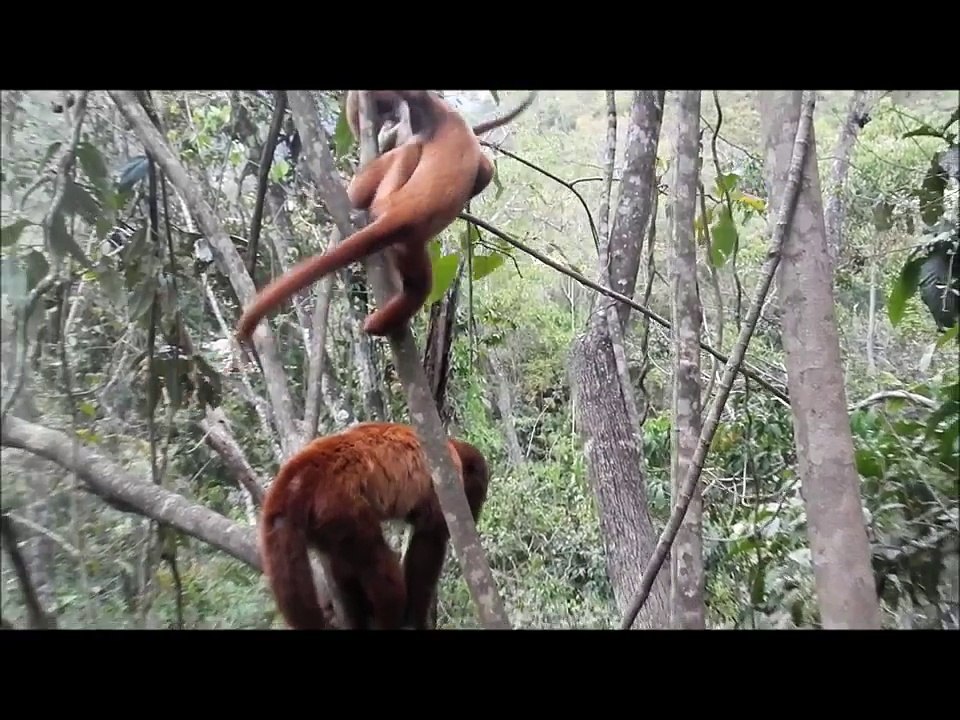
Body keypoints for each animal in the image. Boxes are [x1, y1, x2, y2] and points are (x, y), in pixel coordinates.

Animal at [235, 90, 537, 343]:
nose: (388, 117)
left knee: (406, 152)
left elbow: (482, 169)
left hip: (389, 198)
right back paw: (380, 323)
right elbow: (484, 171)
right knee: (420, 287)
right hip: (408, 242)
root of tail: (401, 215)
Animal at [258, 422, 490, 630]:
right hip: (341, 504)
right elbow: (429, 541)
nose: (474, 513)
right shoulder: (441, 484)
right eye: (477, 493)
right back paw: (390, 615)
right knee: (376, 559)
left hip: (323, 521)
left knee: (343, 565)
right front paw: (416, 618)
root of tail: (303, 469)